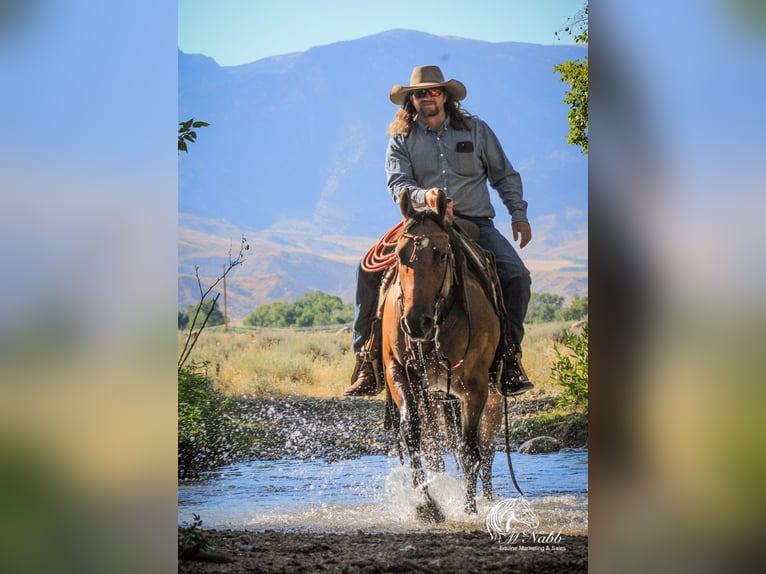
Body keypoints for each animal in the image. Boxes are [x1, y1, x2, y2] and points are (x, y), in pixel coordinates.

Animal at [382, 189, 504, 516]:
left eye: (442, 254)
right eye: (399, 255)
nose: (415, 322)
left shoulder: (475, 387)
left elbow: (469, 448)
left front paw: (469, 509)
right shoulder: (399, 371)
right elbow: (412, 433)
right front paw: (426, 504)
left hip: (493, 394)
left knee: (486, 448)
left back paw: (488, 499)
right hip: (434, 397)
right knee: (435, 449)